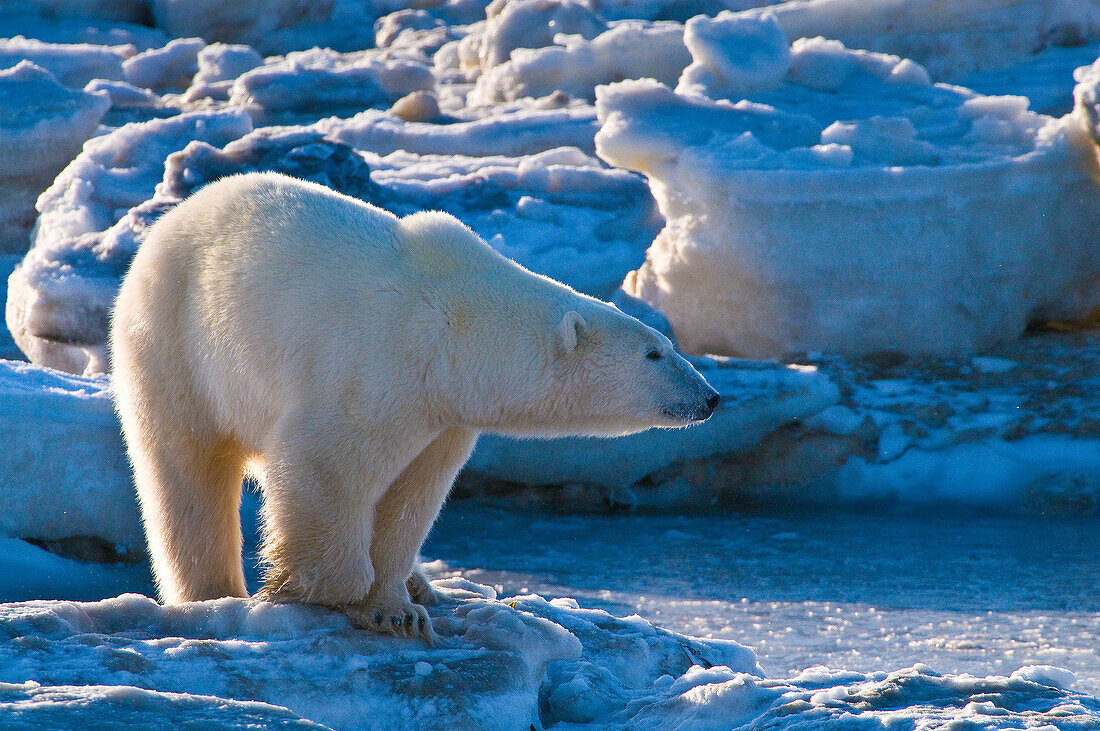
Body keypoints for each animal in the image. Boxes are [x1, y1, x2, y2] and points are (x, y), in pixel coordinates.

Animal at [107, 171, 717, 637]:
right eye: (655, 352)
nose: (710, 398)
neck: (459, 327)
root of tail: (165, 227)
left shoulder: (444, 412)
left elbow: (413, 495)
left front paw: (398, 606)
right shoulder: (378, 368)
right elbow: (326, 468)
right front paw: (323, 590)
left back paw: (424, 585)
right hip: (175, 345)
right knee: (187, 473)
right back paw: (211, 593)